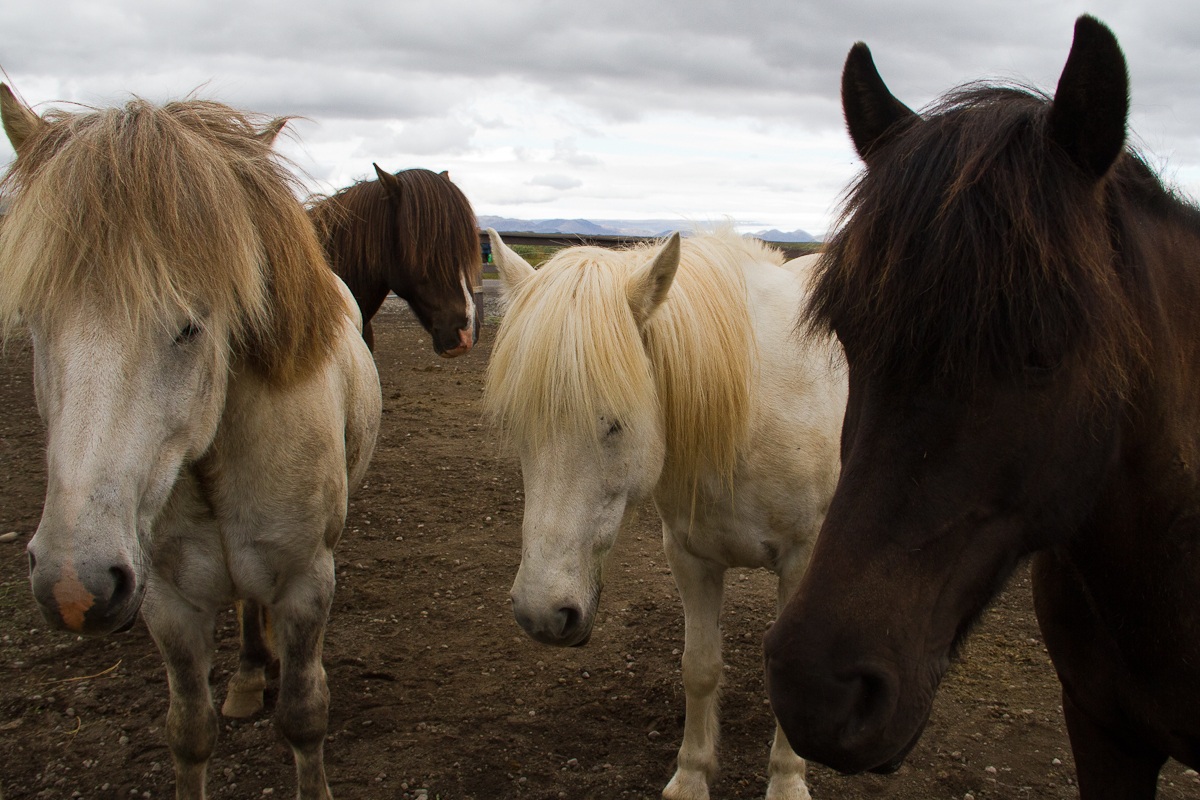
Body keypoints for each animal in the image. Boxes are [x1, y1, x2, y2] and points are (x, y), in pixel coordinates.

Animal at [0, 87, 382, 800]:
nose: (74, 585)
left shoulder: (306, 584)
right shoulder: (167, 602)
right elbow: (189, 730)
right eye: (34, 322)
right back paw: (248, 675)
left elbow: (304, 716)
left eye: (190, 326)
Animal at [484, 229, 846, 800]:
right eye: (517, 423)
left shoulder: (800, 560)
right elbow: (698, 667)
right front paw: (692, 776)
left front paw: (787, 781)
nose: (541, 614)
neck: (750, 411)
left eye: (616, 422)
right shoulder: (689, 557)